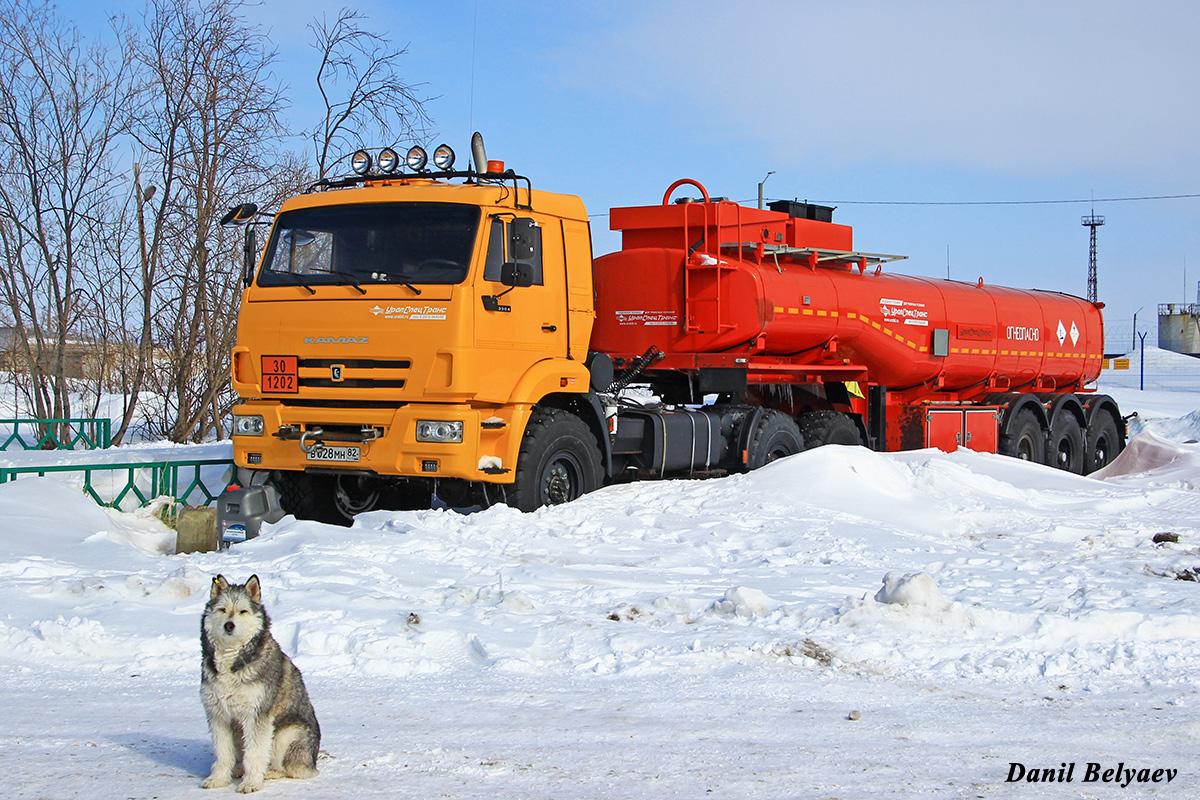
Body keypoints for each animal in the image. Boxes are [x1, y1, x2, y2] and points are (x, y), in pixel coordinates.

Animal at [202, 575, 324, 796]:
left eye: (243, 611)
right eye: (222, 610)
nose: (229, 625)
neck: (232, 660)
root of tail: (312, 762)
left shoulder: (257, 715)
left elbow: (255, 753)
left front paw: (252, 782)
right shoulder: (218, 715)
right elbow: (222, 753)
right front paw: (218, 779)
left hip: (286, 733)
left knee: (289, 768)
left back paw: (269, 773)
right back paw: (239, 769)